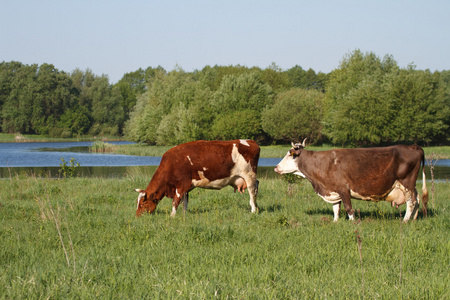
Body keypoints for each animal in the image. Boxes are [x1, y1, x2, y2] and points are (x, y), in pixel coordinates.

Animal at [274, 139, 428, 221]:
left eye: (290, 155)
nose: (276, 167)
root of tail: (413, 146)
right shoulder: (333, 190)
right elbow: (336, 208)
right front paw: (335, 222)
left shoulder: (343, 189)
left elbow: (349, 208)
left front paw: (352, 223)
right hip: (411, 186)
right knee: (417, 200)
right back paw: (414, 219)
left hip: (406, 183)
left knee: (411, 202)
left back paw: (405, 220)